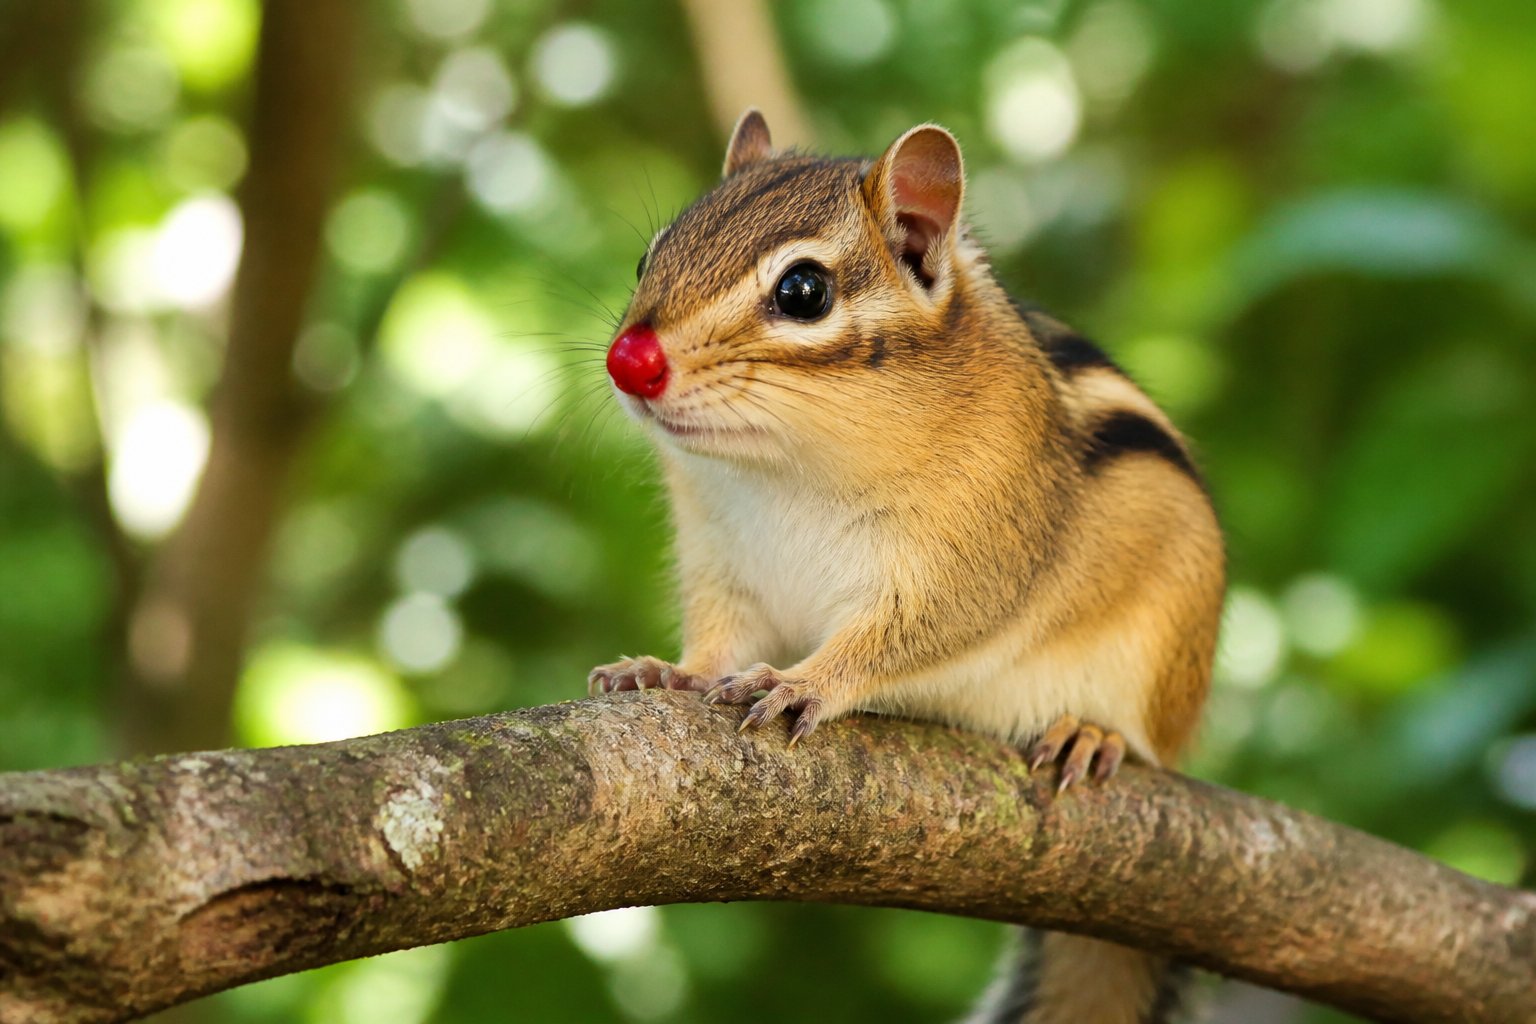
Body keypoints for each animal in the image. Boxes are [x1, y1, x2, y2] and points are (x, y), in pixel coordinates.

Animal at [588, 110, 1226, 1024]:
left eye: (803, 292)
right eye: (650, 257)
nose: (627, 360)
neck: (787, 469)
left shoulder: (971, 558)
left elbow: (907, 634)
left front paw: (802, 681)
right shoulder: (721, 558)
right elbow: (718, 636)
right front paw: (666, 671)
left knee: (1148, 743)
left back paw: (1092, 733)